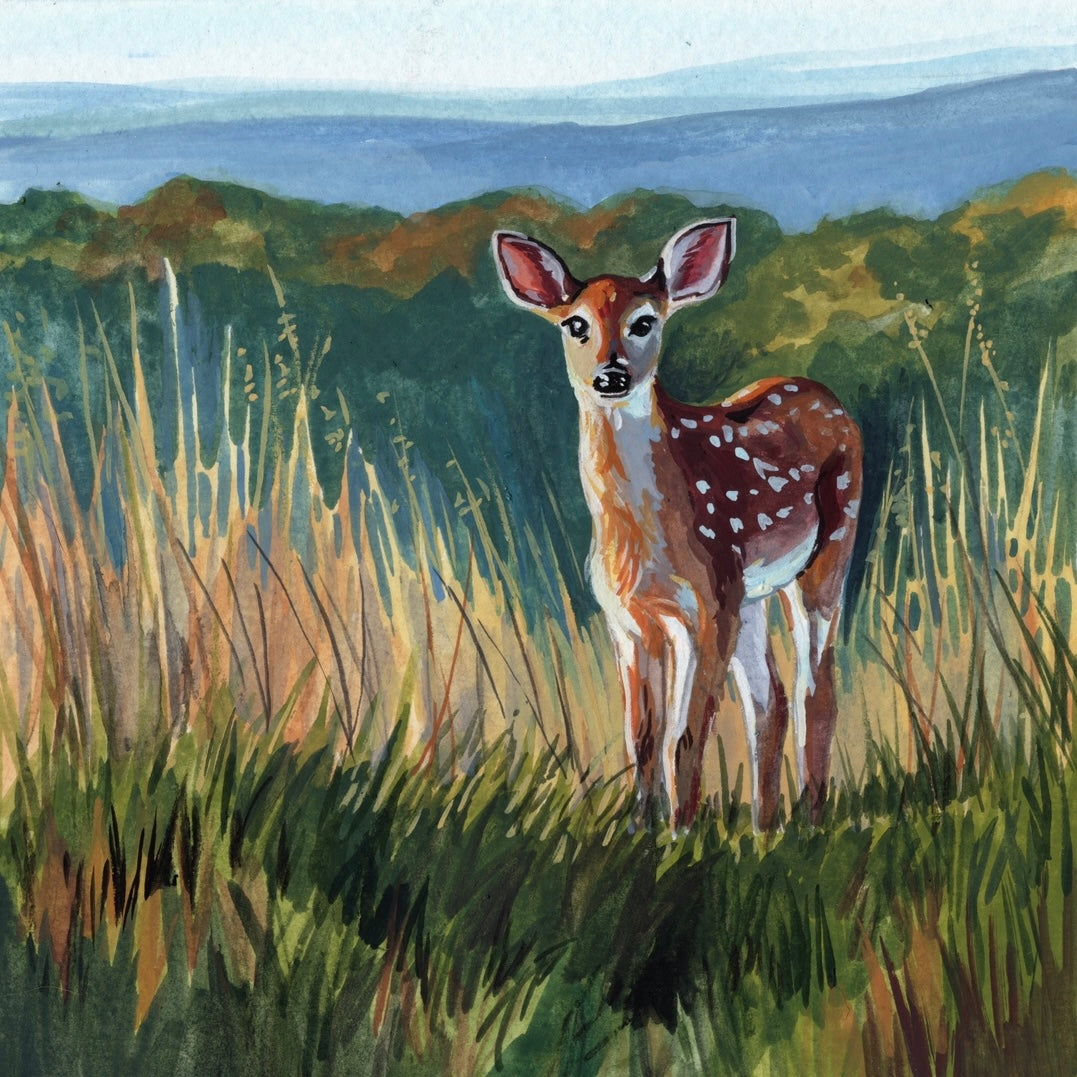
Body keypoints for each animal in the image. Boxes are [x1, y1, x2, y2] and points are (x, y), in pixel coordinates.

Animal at [492, 219, 862, 831]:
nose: (611, 374)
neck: (641, 540)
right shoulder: (628, 620)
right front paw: (641, 829)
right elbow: (641, 736)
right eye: (575, 324)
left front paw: (682, 832)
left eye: (645, 322)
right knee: (772, 698)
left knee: (817, 688)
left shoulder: (707, 607)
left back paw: (810, 822)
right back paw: (764, 828)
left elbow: (685, 735)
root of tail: (824, 394)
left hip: (827, 551)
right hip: (751, 594)